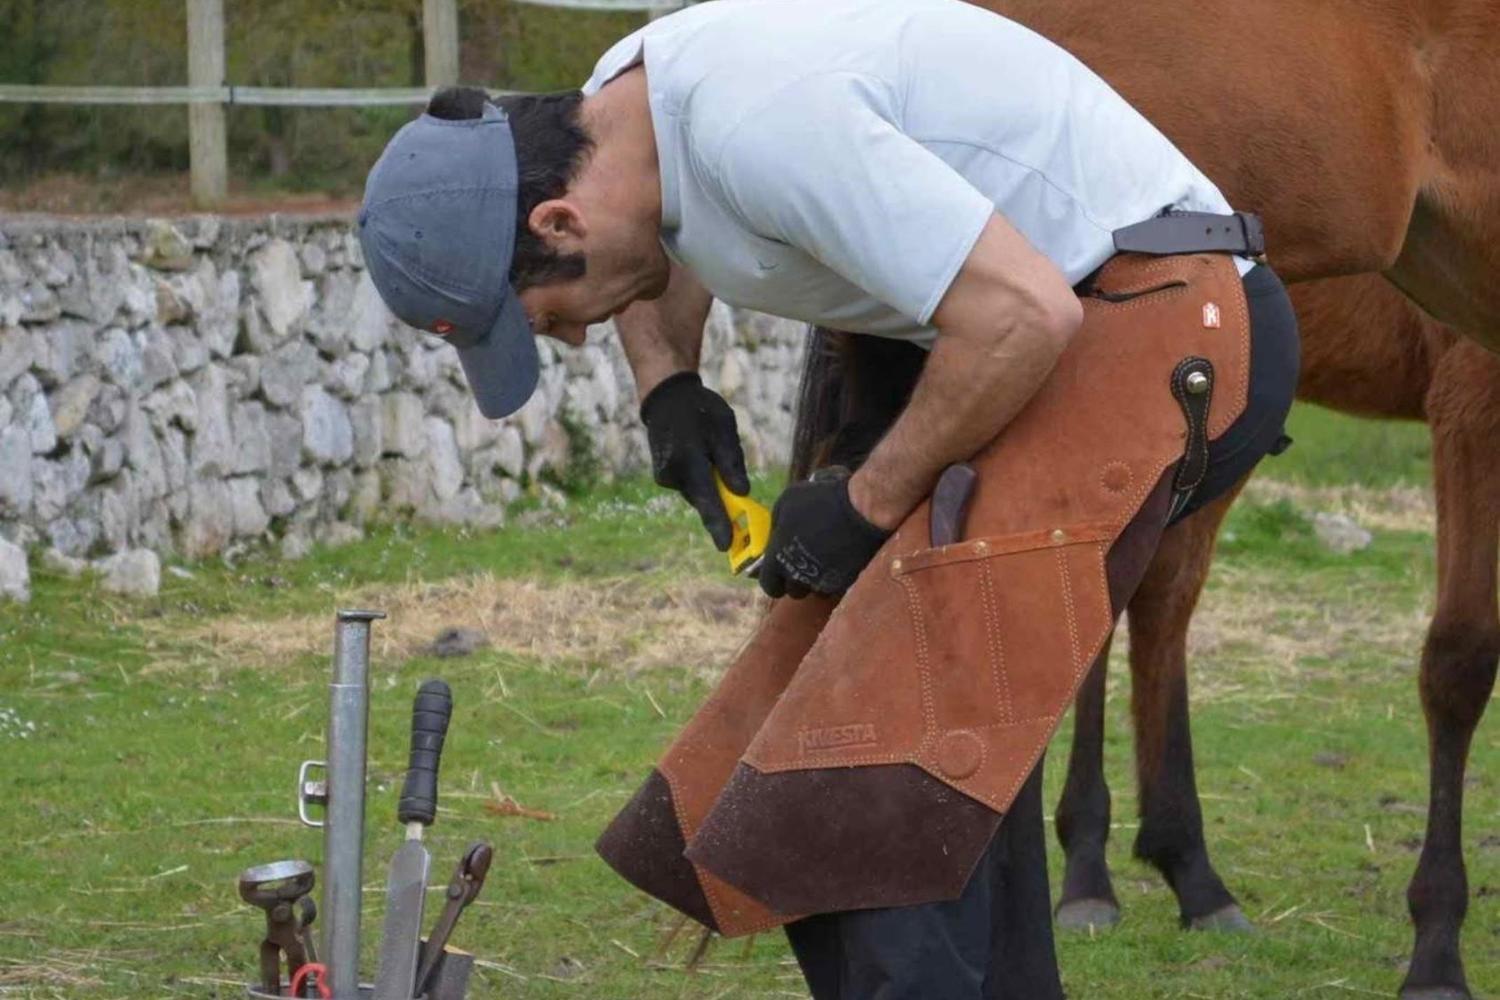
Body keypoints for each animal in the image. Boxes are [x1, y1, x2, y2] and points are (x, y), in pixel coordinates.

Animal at [1054, 272, 1497, 1000]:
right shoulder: (1470, 391)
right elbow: (1461, 662)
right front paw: (1436, 953)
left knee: (1165, 587)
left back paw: (1191, 871)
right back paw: (1088, 869)